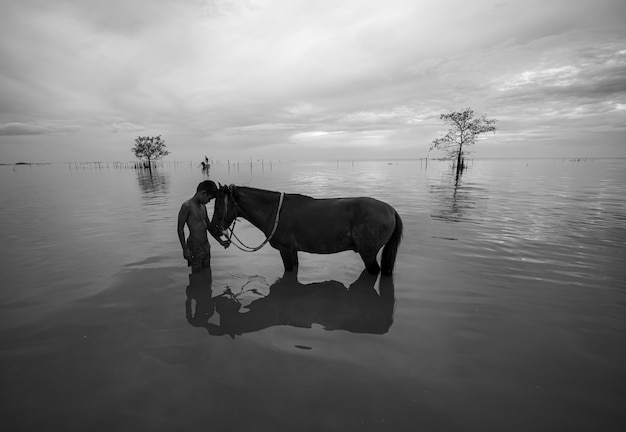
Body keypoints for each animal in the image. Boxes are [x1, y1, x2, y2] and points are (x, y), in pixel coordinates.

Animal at [207, 184, 402, 276]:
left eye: (218, 206)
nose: (213, 228)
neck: (274, 211)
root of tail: (390, 210)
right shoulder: (293, 251)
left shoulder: (285, 250)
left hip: (368, 254)